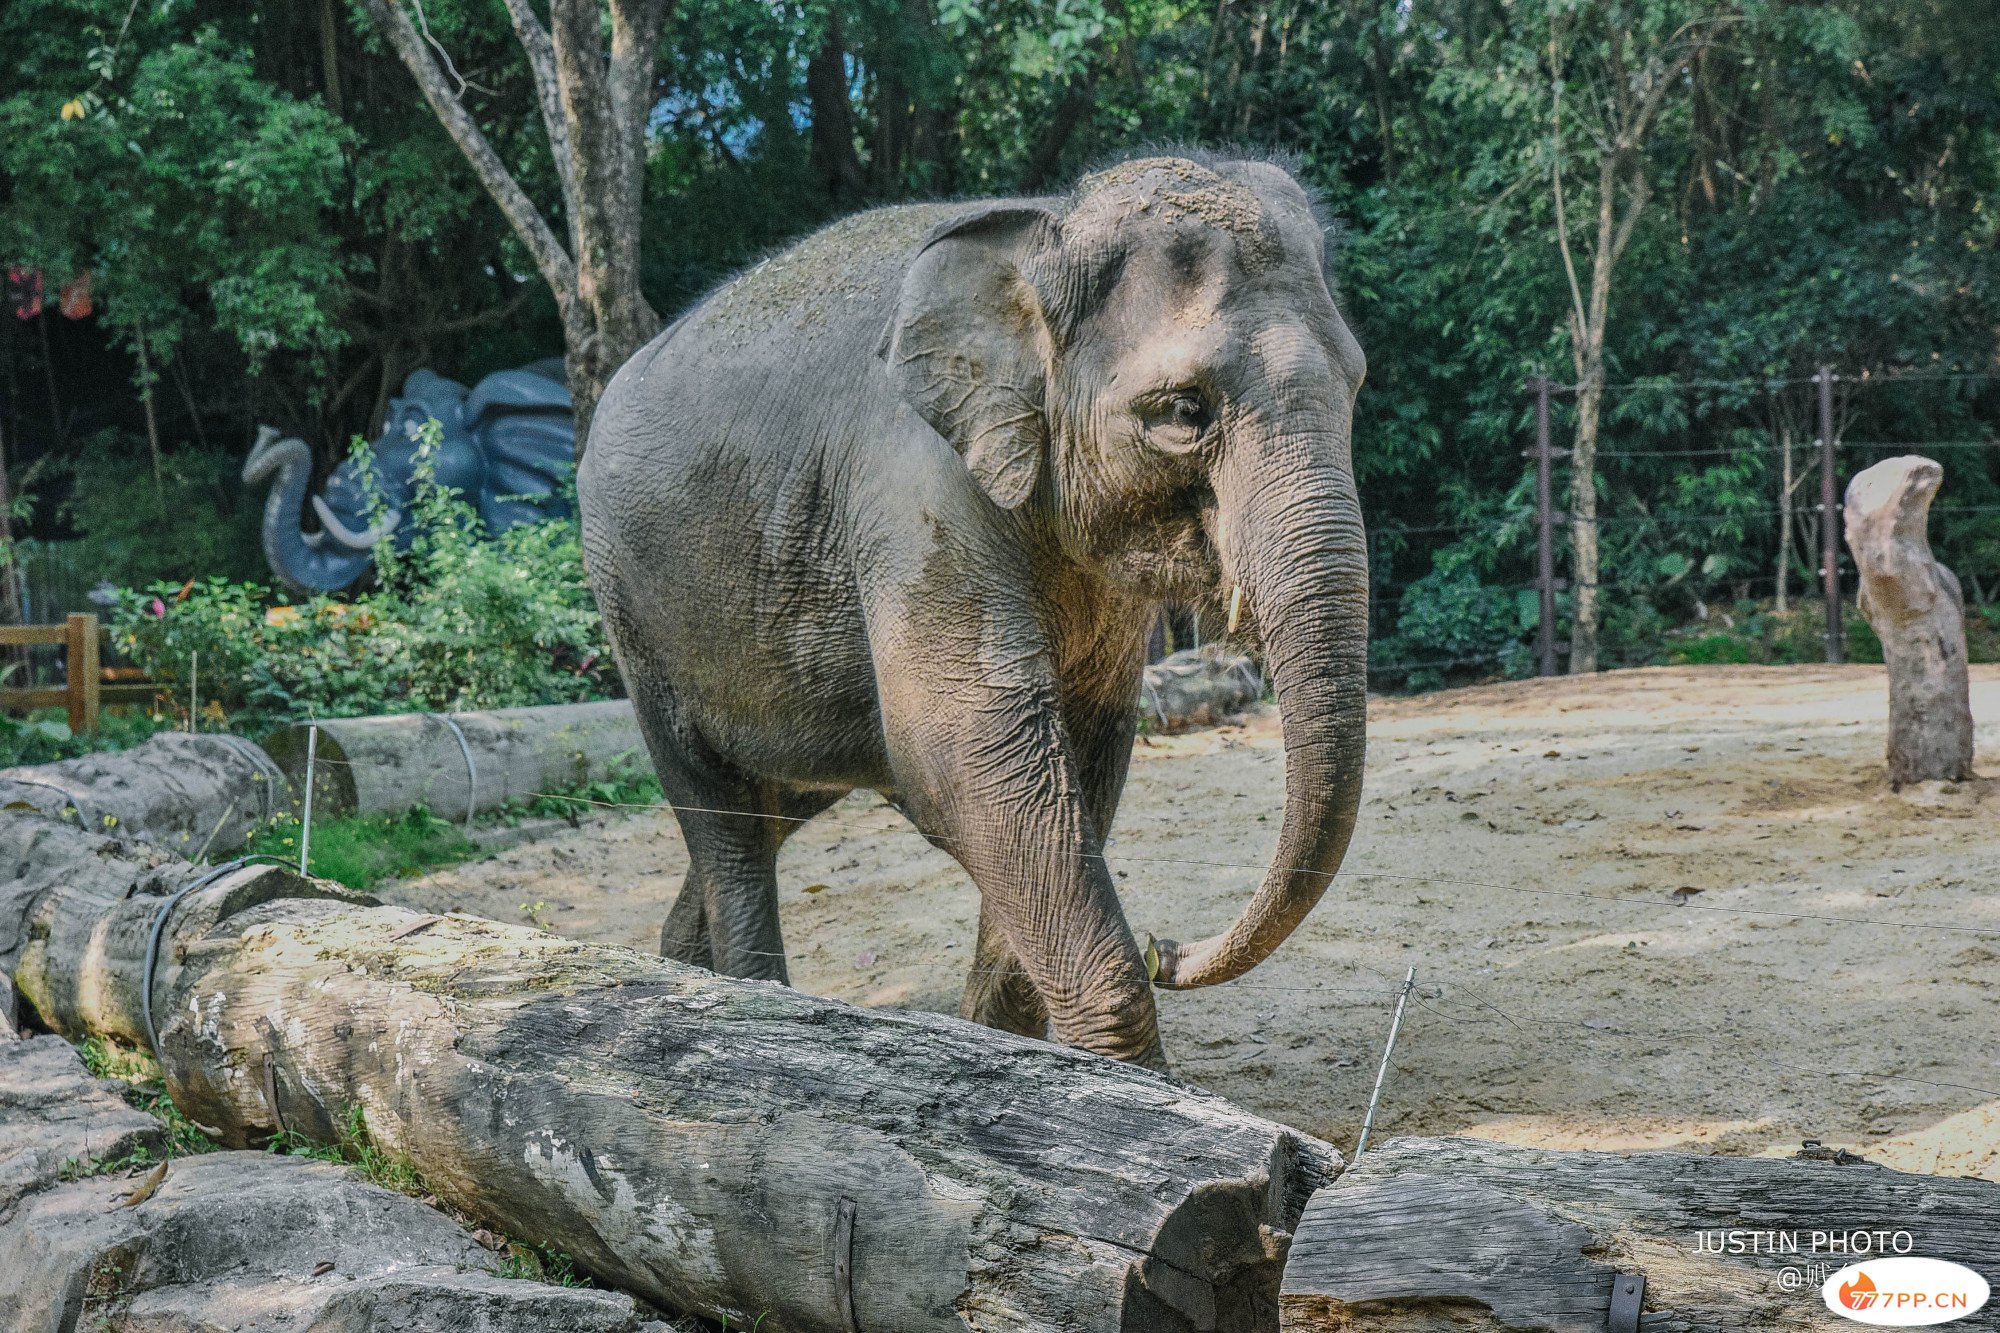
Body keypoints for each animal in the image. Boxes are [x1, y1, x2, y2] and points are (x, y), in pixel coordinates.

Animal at [572, 150, 1368, 1064]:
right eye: (1182, 410)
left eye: (1356, 383)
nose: (1165, 948)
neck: (1049, 227)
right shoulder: (912, 486)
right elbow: (963, 750)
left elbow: (1081, 751)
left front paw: (1016, 1055)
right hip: (634, 610)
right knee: (721, 814)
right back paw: (750, 1003)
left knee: (771, 805)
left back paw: (681, 970)